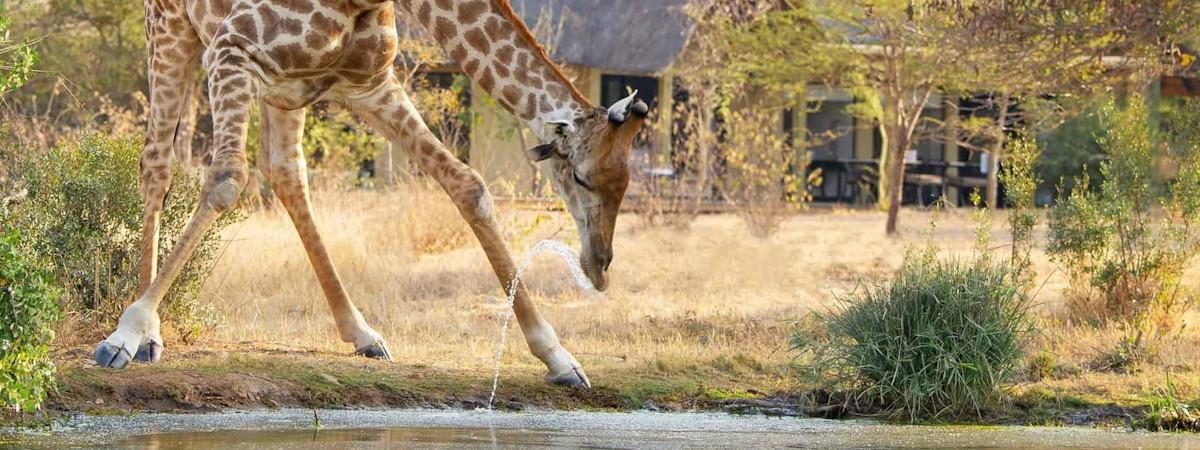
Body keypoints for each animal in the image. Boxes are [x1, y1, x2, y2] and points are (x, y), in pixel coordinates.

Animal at [96, 0, 648, 388]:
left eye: (625, 183)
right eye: (583, 177)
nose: (599, 265)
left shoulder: (369, 84)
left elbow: (468, 184)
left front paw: (559, 358)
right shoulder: (232, 48)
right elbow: (226, 180)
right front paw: (125, 333)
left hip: (282, 88)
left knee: (286, 172)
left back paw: (362, 333)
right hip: (172, 28)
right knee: (158, 162)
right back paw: (149, 337)